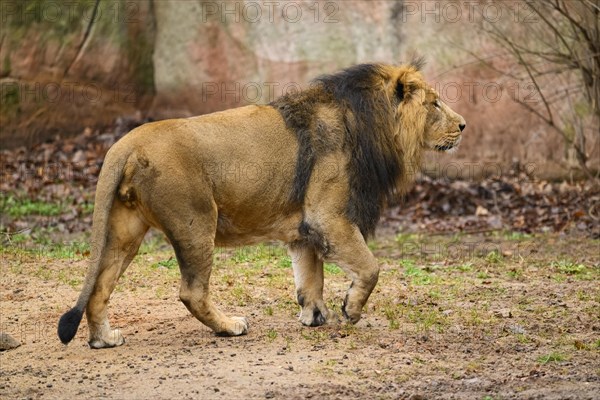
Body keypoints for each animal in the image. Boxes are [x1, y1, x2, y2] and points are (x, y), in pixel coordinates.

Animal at [58, 59, 466, 346]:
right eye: (435, 104)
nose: (463, 125)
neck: (372, 124)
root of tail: (126, 143)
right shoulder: (327, 216)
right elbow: (370, 267)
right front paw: (350, 309)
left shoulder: (304, 228)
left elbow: (310, 277)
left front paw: (315, 316)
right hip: (196, 220)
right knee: (192, 292)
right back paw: (230, 327)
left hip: (125, 230)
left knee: (100, 287)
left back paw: (103, 339)